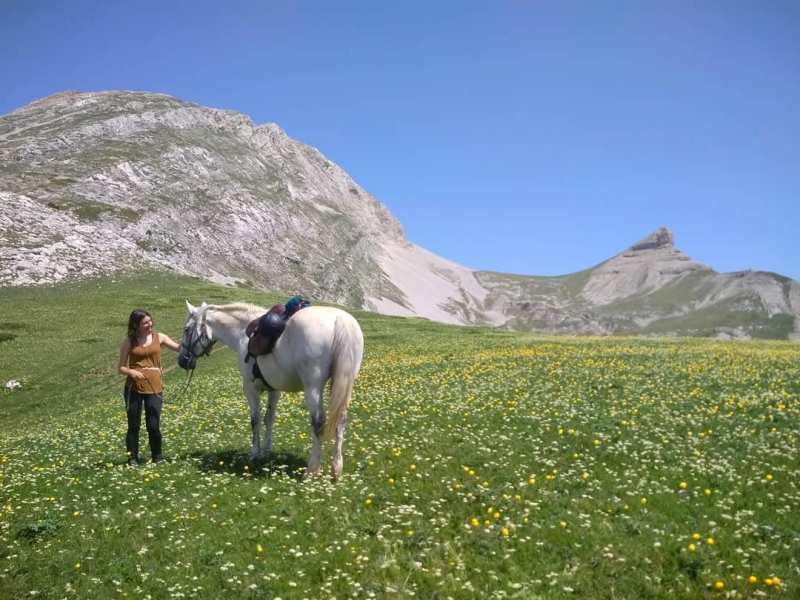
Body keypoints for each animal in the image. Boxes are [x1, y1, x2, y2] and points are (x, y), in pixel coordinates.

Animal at [178, 302, 366, 480]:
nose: (182, 360)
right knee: (341, 420)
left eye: (186, 328)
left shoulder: (250, 389)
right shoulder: (274, 390)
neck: (242, 334)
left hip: (312, 388)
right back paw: (337, 469)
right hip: (345, 385)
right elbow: (269, 418)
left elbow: (255, 420)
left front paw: (256, 453)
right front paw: (267, 450)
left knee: (319, 422)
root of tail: (339, 319)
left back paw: (312, 469)